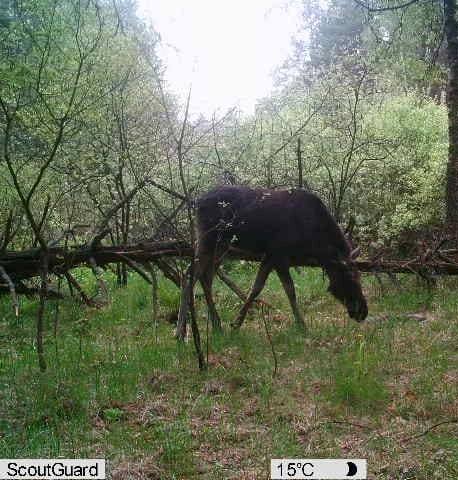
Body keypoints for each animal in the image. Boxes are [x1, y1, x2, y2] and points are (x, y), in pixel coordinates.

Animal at [194, 187, 368, 330]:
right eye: (350, 279)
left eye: (360, 277)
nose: (363, 312)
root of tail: (197, 202)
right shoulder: (278, 255)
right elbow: (287, 289)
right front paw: (301, 325)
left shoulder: (272, 257)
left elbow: (258, 288)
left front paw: (236, 323)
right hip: (207, 241)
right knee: (195, 273)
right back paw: (207, 323)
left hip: (222, 249)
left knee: (207, 276)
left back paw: (213, 322)